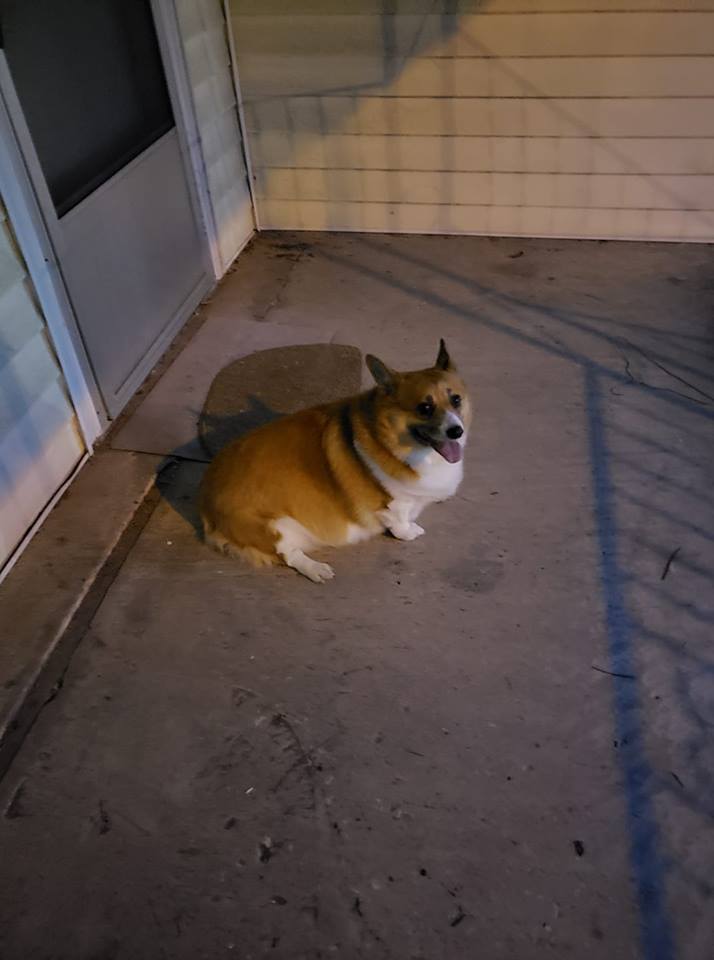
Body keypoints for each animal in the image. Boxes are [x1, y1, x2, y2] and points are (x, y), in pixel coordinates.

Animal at [199, 344, 468, 584]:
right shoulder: (392, 504)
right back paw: (316, 569)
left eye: (456, 399)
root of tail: (205, 499)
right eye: (425, 407)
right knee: (289, 554)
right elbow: (400, 522)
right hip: (275, 527)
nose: (457, 431)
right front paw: (410, 531)